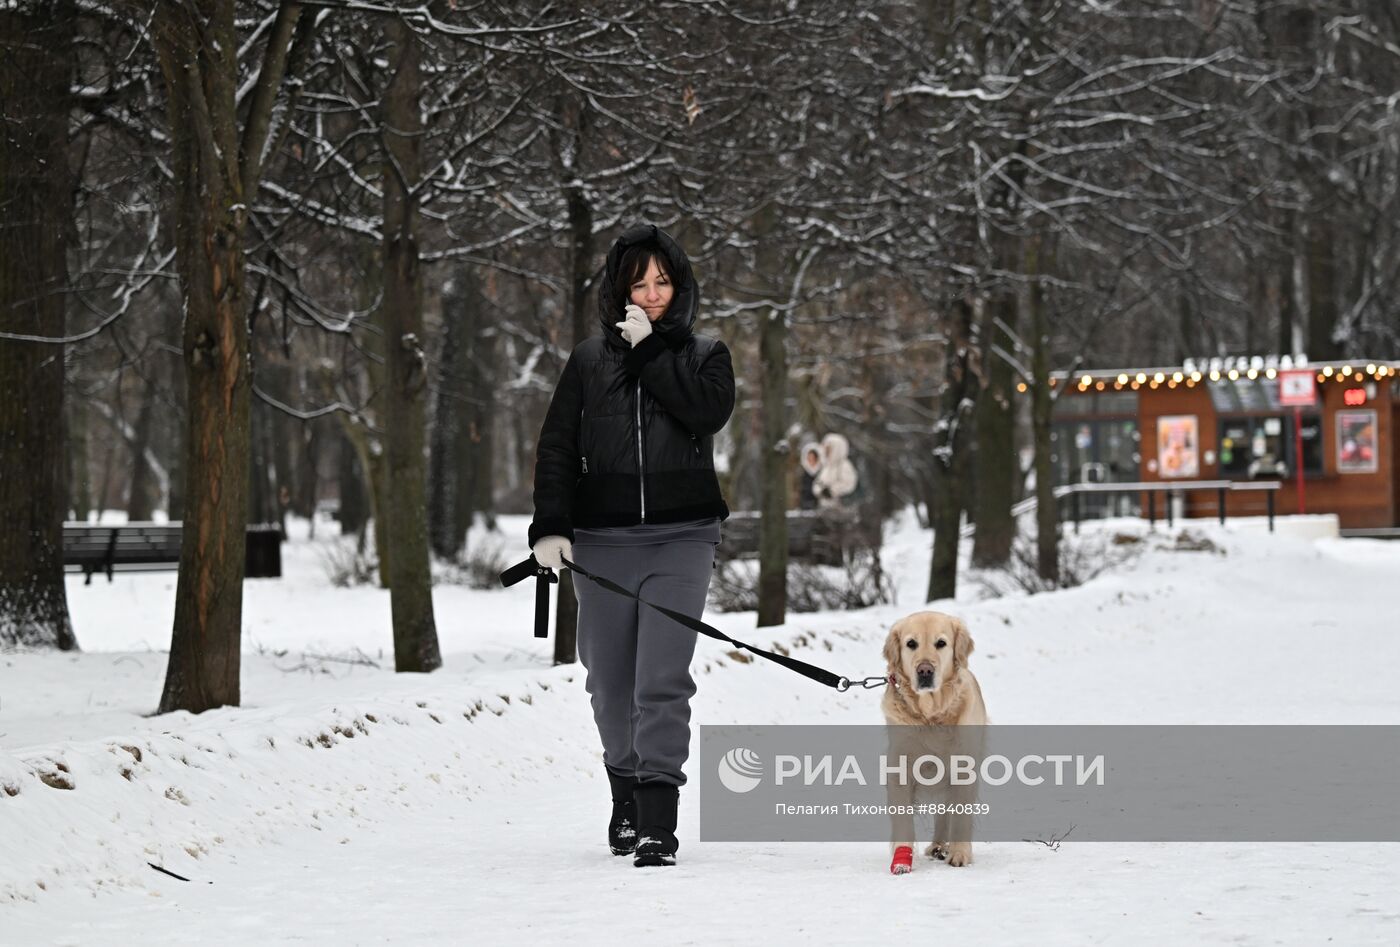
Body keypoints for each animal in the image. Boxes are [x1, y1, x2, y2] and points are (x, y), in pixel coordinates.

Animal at [884, 613, 985, 874]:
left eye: (941, 643)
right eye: (911, 644)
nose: (925, 670)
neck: (931, 715)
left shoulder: (963, 767)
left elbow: (960, 815)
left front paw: (960, 854)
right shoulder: (901, 767)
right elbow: (902, 819)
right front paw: (901, 859)